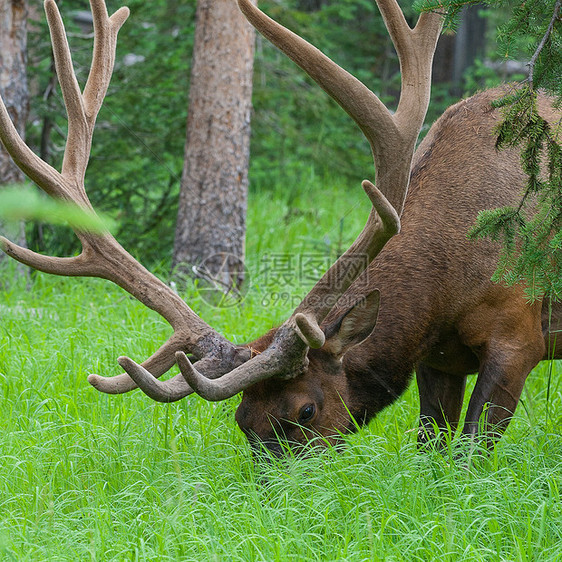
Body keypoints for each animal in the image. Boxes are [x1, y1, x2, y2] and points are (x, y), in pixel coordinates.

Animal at [1, 0, 560, 452]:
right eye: (243, 421)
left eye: (305, 410)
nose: (274, 499)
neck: (448, 283)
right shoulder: (438, 359)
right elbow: (432, 447)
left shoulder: (518, 335)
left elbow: (471, 453)